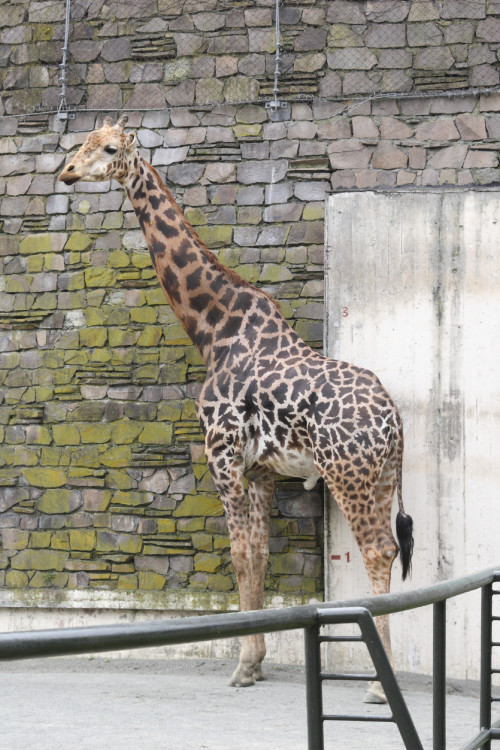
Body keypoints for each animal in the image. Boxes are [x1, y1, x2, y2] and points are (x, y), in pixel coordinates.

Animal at [58, 114, 414, 704]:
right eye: (80, 143)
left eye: (108, 149)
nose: (65, 171)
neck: (212, 329)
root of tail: (393, 419)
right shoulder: (262, 469)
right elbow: (260, 555)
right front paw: (258, 659)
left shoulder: (221, 454)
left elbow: (240, 554)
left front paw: (244, 664)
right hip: (383, 476)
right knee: (389, 549)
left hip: (348, 474)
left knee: (379, 551)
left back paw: (380, 688)